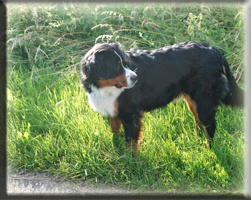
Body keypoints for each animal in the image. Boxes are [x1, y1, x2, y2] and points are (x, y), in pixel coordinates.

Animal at [81, 41, 244, 150]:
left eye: (125, 63)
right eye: (116, 66)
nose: (135, 77)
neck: (106, 87)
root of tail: (214, 51)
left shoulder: (130, 113)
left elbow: (131, 142)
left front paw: (131, 161)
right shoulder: (113, 111)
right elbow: (115, 131)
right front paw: (117, 148)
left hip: (204, 101)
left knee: (210, 126)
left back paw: (207, 148)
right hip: (193, 102)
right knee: (199, 122)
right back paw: (197, 140)